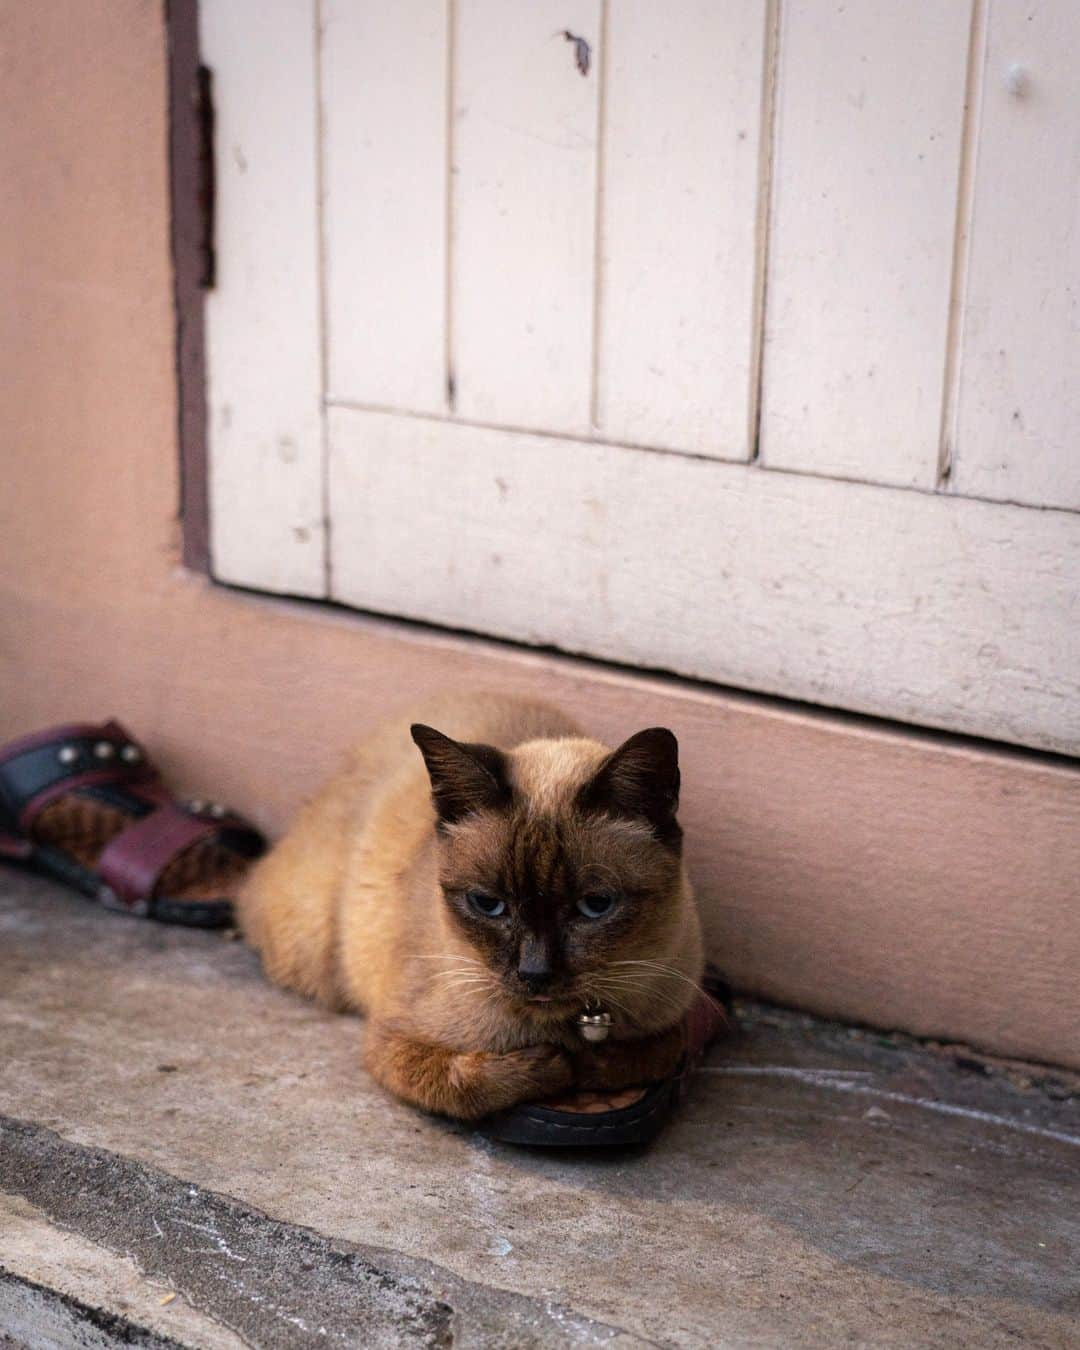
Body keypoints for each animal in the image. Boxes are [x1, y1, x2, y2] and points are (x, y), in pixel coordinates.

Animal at [237, 696, 702, 1117]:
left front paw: (584, 1063)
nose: (534, 973)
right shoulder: (391, 1041)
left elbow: (643, 1055)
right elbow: (464, 1085)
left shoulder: (675, 1020)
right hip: (314, 950)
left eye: (595, 906)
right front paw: (551, 1065)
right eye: (488, 904)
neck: (560, 1026)